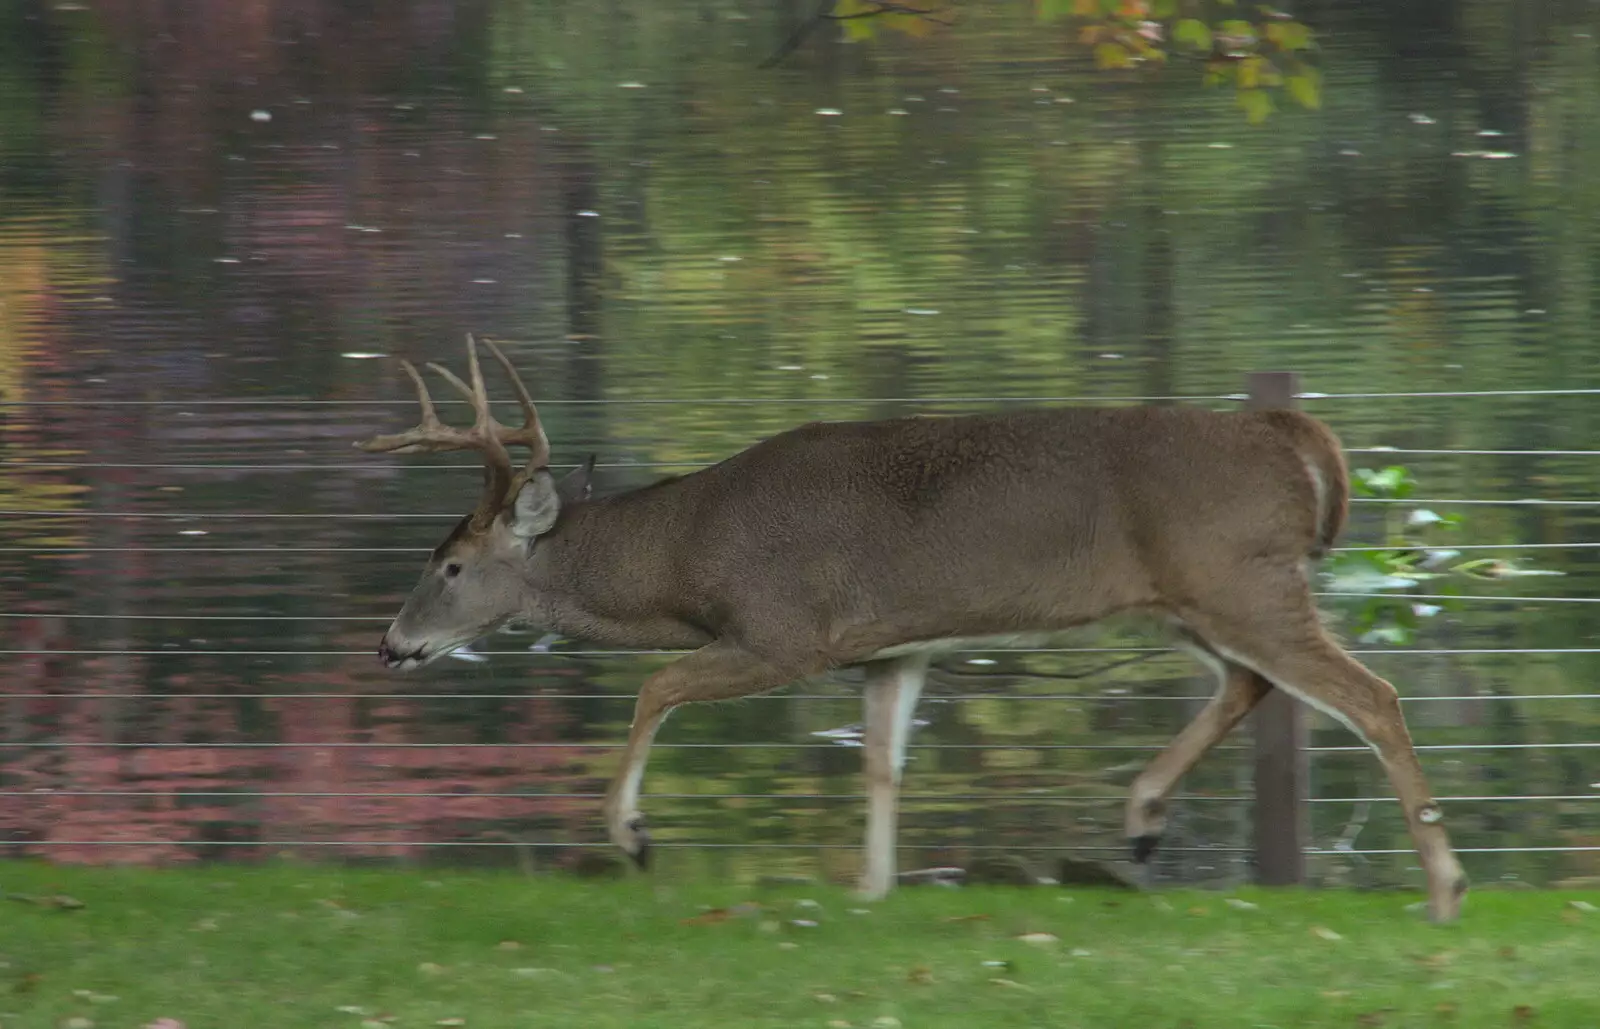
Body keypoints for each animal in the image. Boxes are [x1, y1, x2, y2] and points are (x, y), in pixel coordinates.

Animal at [356, 337, 1465, 928]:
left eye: (448, 565)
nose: (389, 645)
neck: (683, 561)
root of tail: (1284, 433)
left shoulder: (786, 630)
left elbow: (654, 686)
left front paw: (632, 834)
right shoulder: (893, 648)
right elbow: (883, 762)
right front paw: (872, 892)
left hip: (1235, 580)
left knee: (1370, 695)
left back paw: (1445, 889)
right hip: (1189, 597)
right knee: (1254, 685)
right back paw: (1142, 817)